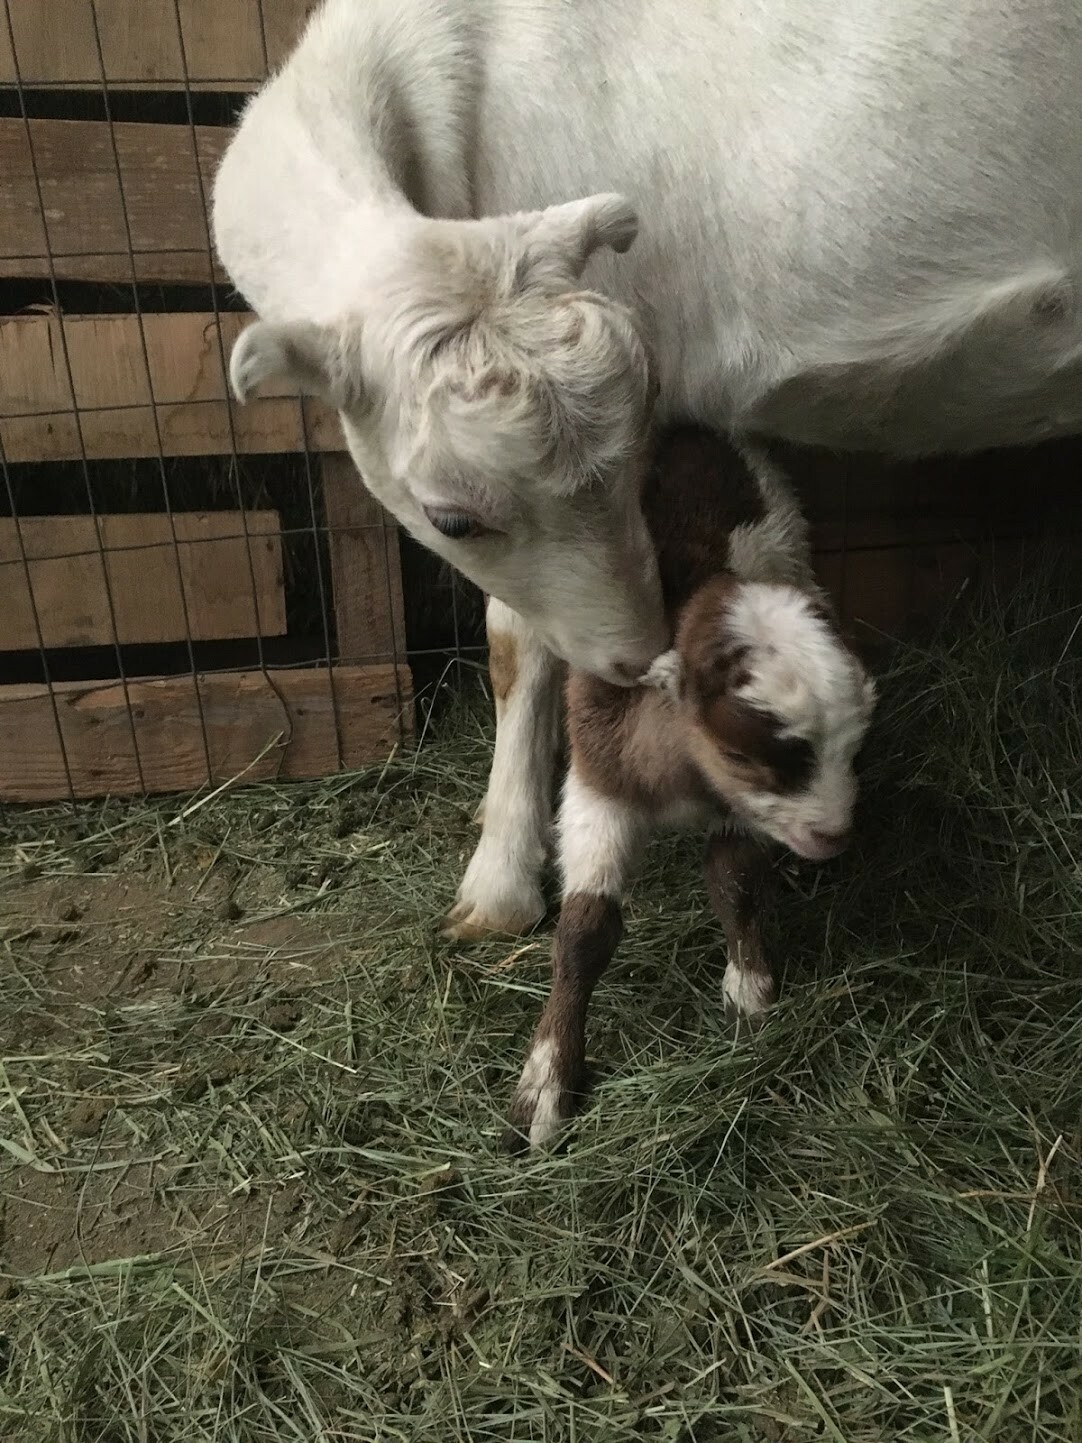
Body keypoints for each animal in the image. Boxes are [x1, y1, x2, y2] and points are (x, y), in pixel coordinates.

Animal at [503, 429, 876, 1149]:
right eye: (739, 752)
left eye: (855, 745)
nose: (833, 835)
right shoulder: (600, 776)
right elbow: (584, 931)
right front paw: (546, 1082)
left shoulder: (742, 809)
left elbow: (733, 877)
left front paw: (750, 987)